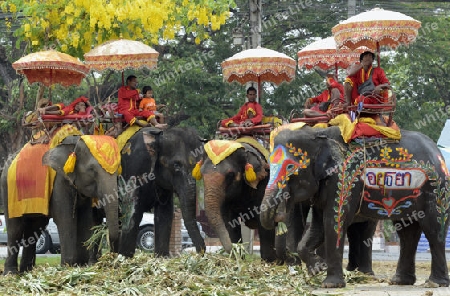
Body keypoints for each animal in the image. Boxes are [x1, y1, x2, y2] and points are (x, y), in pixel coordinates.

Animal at [0, 133, 120, 274]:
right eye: (92, 170)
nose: (112, 258)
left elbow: (85, 220)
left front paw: (81, 267)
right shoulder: (59, 181)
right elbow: (66, 220)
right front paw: (67, 268)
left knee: (35, 228)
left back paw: (27, 271)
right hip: (8, 190)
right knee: (15, 229)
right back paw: (11, 274)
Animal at [117, 126, 207, 256]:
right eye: (176, 165)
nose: (200, 253)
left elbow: (164, 215)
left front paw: (162, 257)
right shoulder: (133, 169)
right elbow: (133, 213)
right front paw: (124, 258)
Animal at [260, 124, 450, 286]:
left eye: (290, 168)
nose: (279, 214)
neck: (318, 132)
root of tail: (437, 152)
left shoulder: (343, 179)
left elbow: (333, 222)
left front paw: (330, 284)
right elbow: (318, 226)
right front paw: (317, 269)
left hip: (437, 190)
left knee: (434, 229)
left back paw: (435, 283)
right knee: (407, 232)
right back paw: (400, 281)